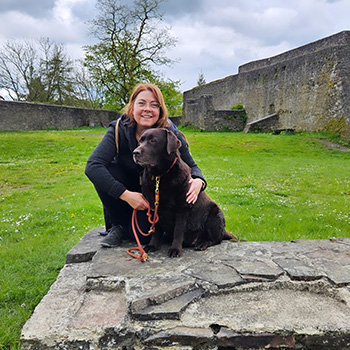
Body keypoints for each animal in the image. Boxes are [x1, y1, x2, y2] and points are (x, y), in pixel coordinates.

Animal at [133, 127, 237, 256]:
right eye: (140, 141)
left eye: (153, 140)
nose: (135, 152)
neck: (160, 176)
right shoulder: (153, 207)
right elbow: (155, 230)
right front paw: (152, 245)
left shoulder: (182, 208)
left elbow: (178, 231)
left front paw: (175, 249)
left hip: (214, 214)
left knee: (216, 239)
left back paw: (202, 243)